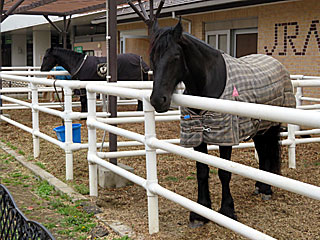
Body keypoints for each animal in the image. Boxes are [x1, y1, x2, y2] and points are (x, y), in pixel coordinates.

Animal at [149, 20, 296, 227]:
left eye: (175, 57)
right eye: (152, 57)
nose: (157, 100)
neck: (208, 83)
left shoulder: (225, 137)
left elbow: (224, 172)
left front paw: (227, 210)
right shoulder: (198, 136)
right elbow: (202, 172)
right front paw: (200, 213)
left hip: (270, 126)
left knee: (268, 153)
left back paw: (266, 189)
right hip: (259, 127)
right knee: (263, 151)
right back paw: (260, 186)